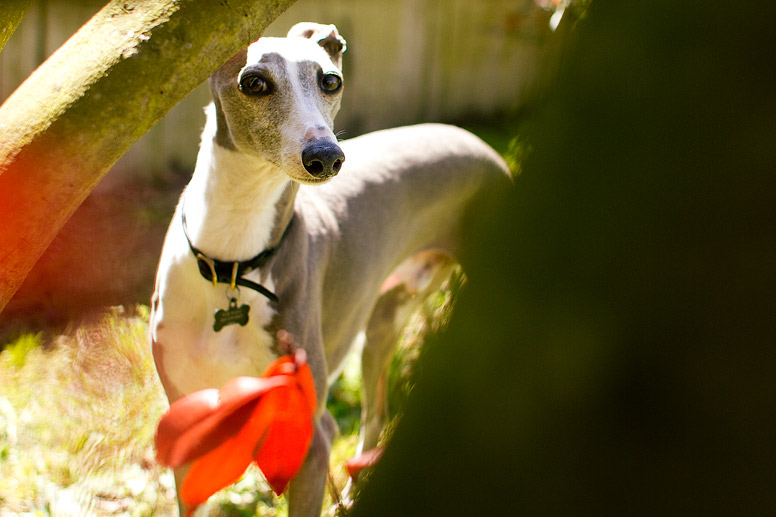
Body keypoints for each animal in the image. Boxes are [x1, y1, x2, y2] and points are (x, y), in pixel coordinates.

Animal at [150, 22, 510, 512]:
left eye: (330, 81)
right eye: (254, 82)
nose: (326, 157)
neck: (232, 263)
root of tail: (485, 148)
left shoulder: (312, 442)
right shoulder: (189, 426)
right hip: (382, 323)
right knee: (374, 415)